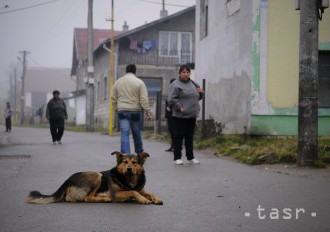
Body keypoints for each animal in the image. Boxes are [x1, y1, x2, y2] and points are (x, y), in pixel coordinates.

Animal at [26, 150, 163, 205]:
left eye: (134, 162)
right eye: (125, 162)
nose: (129, 169)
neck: (130, 180)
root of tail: (68, 180)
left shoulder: (142, 189)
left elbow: (149, 193)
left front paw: (156, 199)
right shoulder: (117, 195)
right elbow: (133, 192)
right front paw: (143, 200)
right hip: (97, 175)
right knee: (87, 198)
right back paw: (105, 199)